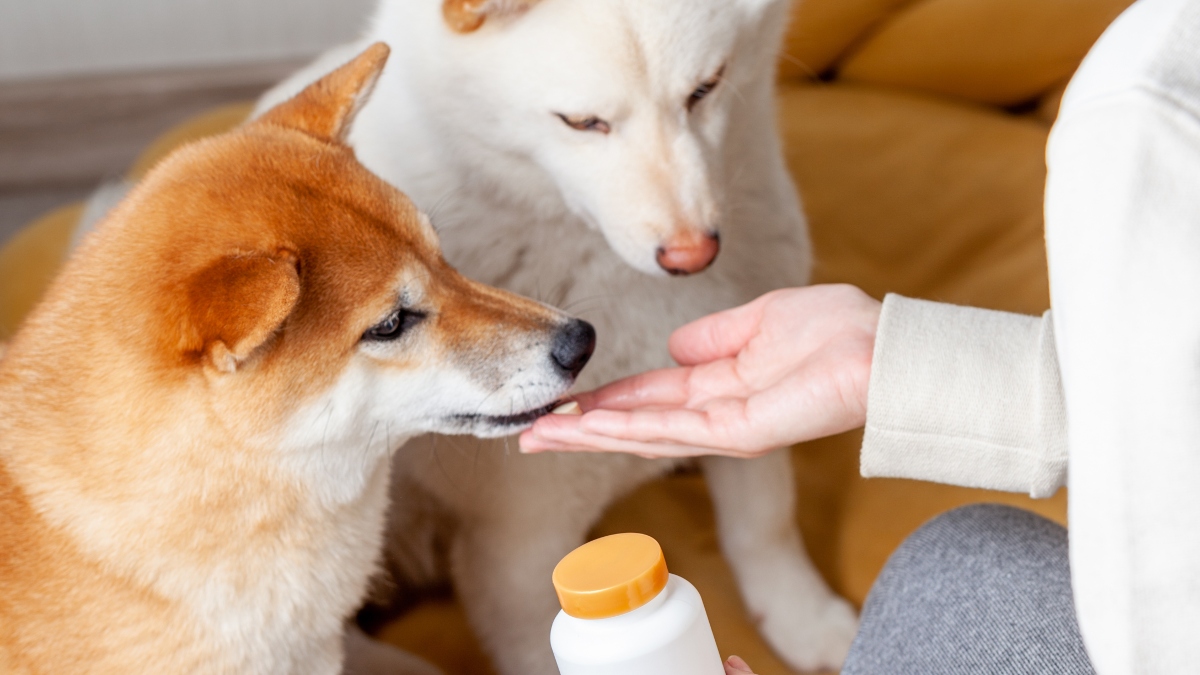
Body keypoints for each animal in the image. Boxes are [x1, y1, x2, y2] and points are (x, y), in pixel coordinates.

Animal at [253, 0, 859, 667]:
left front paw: (804, 622)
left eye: (706, 89)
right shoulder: (517, 550)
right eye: (583, 122)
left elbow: (765, 524)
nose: (693, 255)